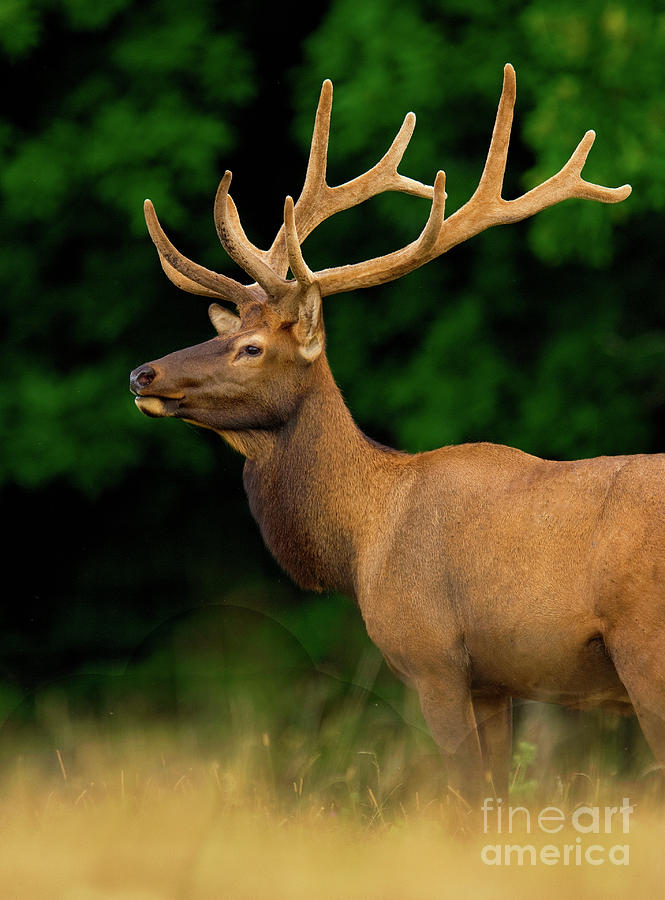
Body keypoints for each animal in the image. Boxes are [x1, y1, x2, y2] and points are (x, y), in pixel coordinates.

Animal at [127, 67, 644, 804]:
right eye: (229, 331)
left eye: (252, 348)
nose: (142, 373)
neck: (365, 535)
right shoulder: (495, 680)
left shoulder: (432, 656)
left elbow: (466, 794)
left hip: (643, 644)